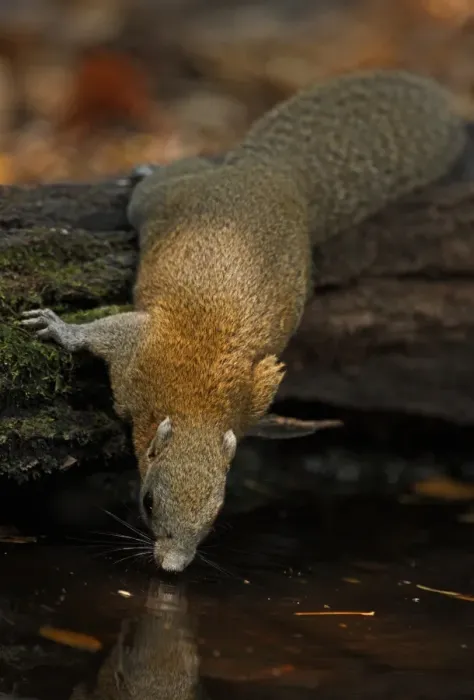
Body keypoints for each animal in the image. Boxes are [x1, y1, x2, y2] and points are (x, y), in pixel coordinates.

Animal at [21, 70, 466, 573]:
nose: (173, 566)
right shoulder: (137, 354)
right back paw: (150, 169)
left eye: (216, 515)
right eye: (147, 502)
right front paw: (59, 327)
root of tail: (275, 173)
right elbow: (106, 332)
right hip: (166, 200)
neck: (194, 406)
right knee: (162, 183)